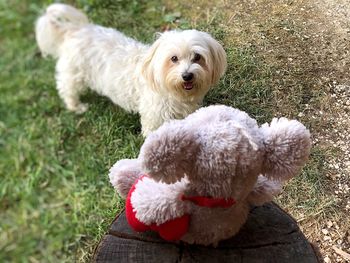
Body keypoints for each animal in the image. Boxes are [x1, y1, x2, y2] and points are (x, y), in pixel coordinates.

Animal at [35, 3, 227, 136]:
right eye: (174, 59)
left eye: (197, 57)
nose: (187, 75)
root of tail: (75, 29)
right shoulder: (154, 117)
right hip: (74, 74)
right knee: (67, 89)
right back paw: (76, 106)